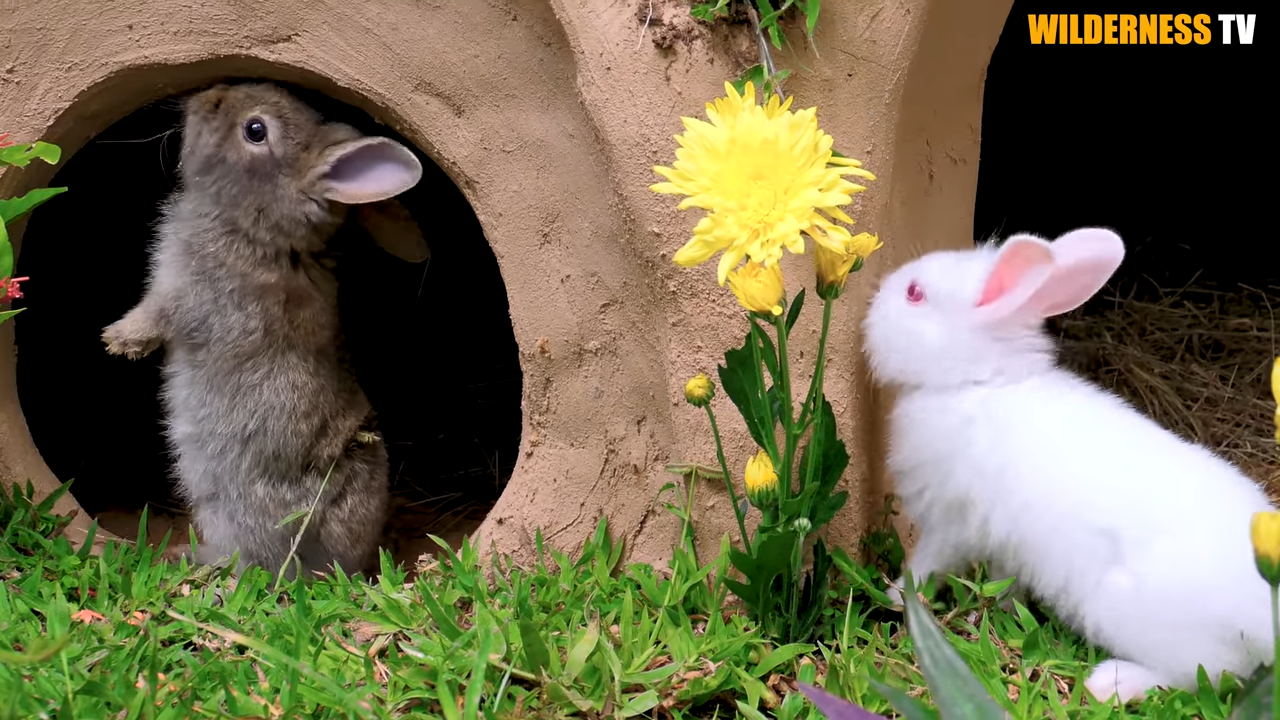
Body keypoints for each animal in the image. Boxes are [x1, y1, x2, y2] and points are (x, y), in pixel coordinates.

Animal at [101, 81, 427, 579]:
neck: (260, 228)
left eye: (255, 130)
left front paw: (118, 341)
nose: (207, 96)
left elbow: (157, 316)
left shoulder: (185, 295)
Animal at [860, 226, 1278, 704]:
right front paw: (1003, 609)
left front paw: (894, 596)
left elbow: (927, 565)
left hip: (1131, 615)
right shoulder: (1004, 545)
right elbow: (1004, 581)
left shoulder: (952, 523)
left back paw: (1111, 682)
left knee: (1200, 674)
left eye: (915, 294)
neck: (976, 382)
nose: (875, 297)